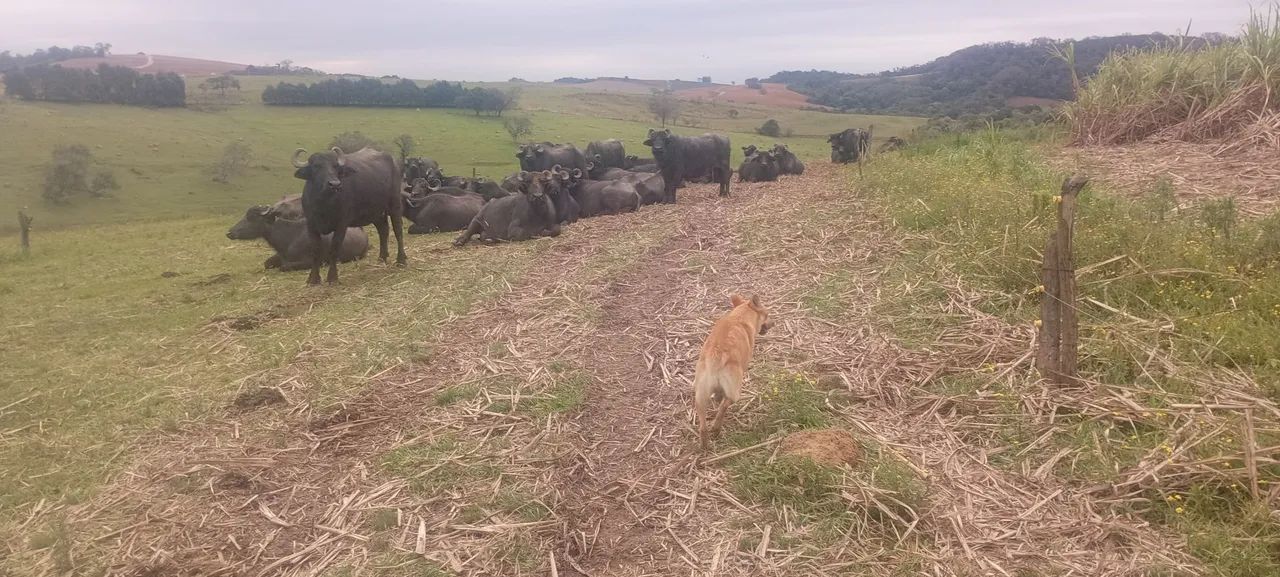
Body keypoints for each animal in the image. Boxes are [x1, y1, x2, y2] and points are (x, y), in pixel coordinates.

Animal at [226, 205, 369, 271]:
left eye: (251, 217)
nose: (229, 232)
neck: (289, 236)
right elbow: (267, 263)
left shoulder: (312, 261)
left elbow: (284, 266)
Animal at [292, 146, 405, 285]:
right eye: (316, 166)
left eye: (335, 166)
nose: (334, 184)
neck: (324, 204)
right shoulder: (311, 224)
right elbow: (315, 250)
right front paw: (313, 279)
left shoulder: (342, 224)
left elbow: (334, 248)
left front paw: (332, 278)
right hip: (375, 212)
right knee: (383, 231)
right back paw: (381, 259)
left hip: (395, 204)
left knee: (398, 230)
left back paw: (401, 260)